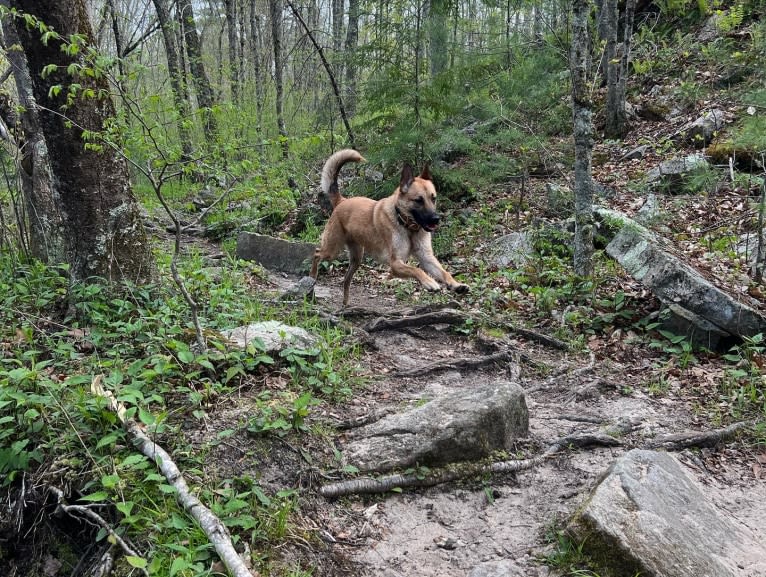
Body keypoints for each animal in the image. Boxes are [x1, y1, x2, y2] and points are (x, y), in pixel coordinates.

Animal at [310, 148, 468, 306]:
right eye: (419, 200)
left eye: (433, 198)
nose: (436, 219)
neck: (407, 226)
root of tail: (342, 201)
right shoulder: (396, 264)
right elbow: (416, 270)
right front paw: (429, 282)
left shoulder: (427, 259)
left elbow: (444, 272)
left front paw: (456, 284)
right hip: (332, 250)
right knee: (316, 254)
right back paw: (312, 278)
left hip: (356, 259)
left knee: (345, 279)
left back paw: (345, 303)